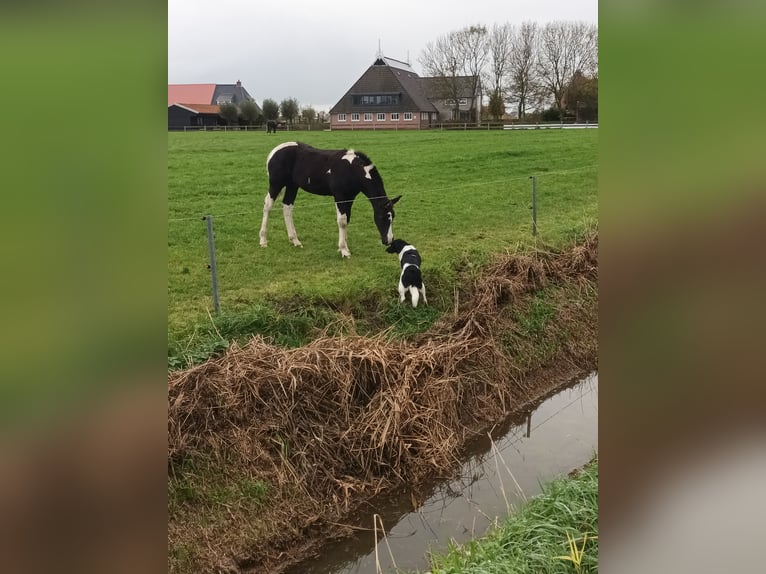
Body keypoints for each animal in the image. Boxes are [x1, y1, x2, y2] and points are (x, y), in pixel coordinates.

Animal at [260, 142, 402, 258]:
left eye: (393, 216)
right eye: (382, 217)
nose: (389, 240)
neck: (352, 169)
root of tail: (273, 152)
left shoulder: (349, 197)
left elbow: (347, 219)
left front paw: (344, 246)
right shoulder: (340, 196)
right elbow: (342, 221)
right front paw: (344, 250)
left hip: (292, 185)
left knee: (287, 207)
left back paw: (295, 240)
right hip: (276, 184)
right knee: (268, 206)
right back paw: (263, 240)